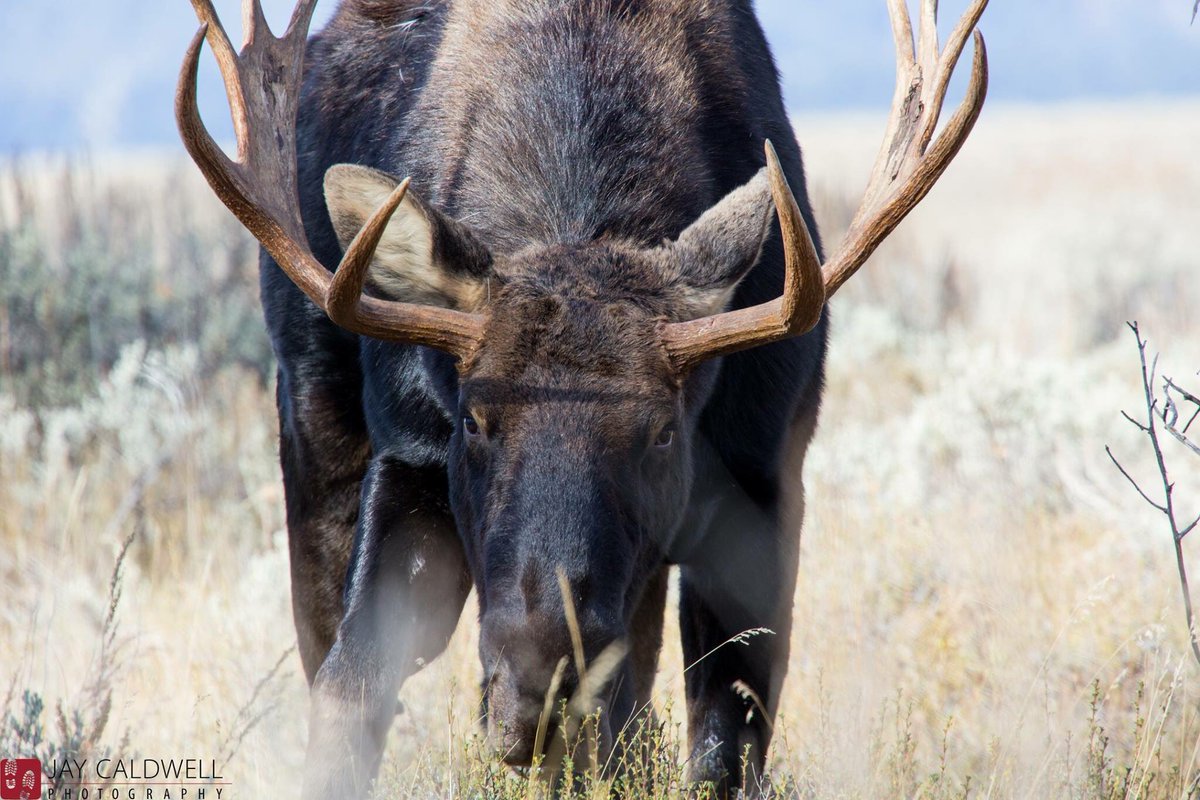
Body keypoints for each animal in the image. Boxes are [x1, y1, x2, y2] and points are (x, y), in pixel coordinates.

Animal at [174, 0, 988, 791]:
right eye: (473, 418)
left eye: (663, 429)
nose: (539, 693)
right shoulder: (411, 453)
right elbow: (352, 685)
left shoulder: (763, 475)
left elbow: (724, 740)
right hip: (312, 430)